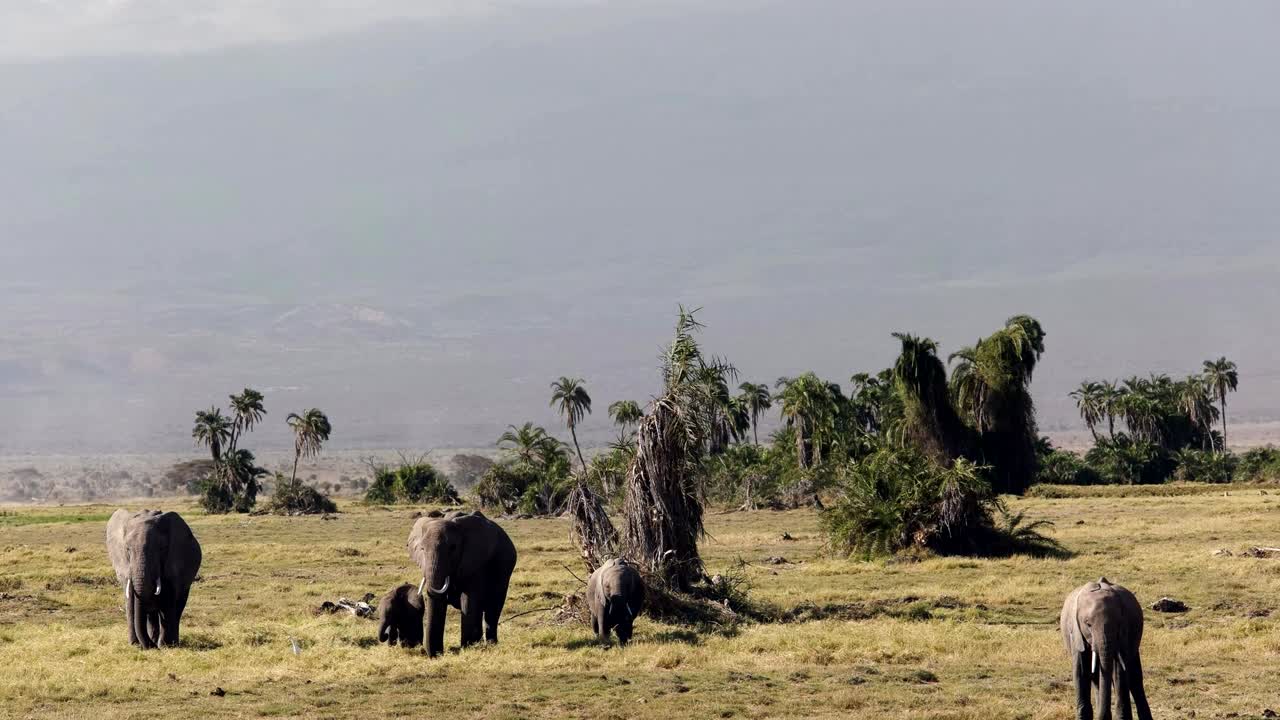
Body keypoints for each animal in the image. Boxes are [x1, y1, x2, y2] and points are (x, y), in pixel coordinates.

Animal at [105, 509, 202, 649]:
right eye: (127, 549)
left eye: (161, 548)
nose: (150, 646)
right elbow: (131, 603)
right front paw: (135, 645)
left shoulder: (173, 564)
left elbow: (168, 601)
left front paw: (165, 646)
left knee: (178, 607)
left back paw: (170, 642)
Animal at [407, 509, 517, 657]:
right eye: (422, 549)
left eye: (453, 548)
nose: (435, 656)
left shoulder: (474, 562)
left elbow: (468, 601)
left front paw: (467, 649)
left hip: (505, 568)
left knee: (493, 608)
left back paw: (490, 644)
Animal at [1060, 578, 1154, 720]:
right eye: (1088, 624)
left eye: (1118, 624)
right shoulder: (1076, 633)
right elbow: (1081, 672)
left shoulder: (1124, 632)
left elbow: (1119, 670)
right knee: (1096, 678)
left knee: (1134, 678)